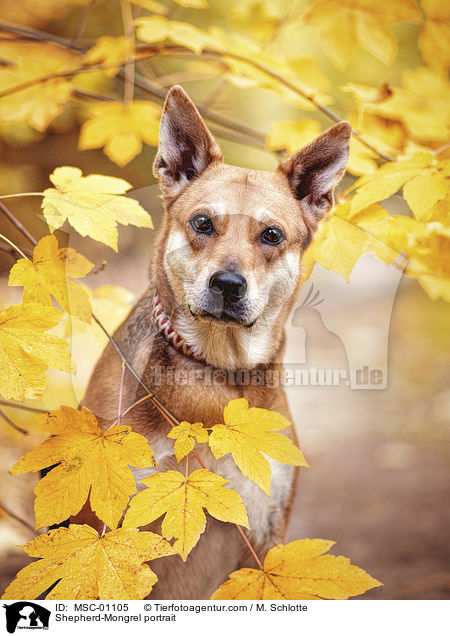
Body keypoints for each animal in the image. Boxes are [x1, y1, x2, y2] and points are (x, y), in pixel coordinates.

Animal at [81, 87, 352, 600]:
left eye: (272, 235)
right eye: (203, 223)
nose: (227, 284)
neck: (216, 372)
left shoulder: (266, 533)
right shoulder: (120, 532)